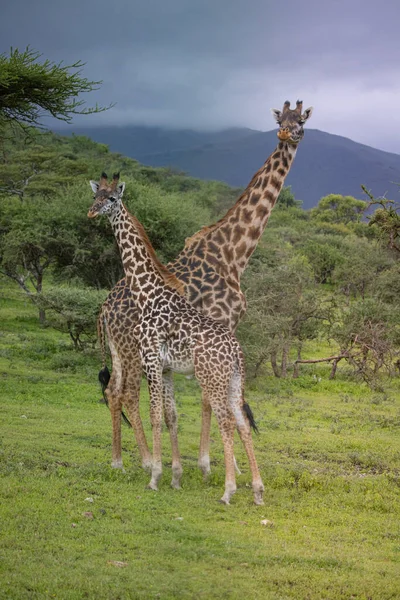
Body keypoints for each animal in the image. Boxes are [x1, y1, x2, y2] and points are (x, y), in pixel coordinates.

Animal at [87, 171, 264, 504]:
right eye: (95, 195)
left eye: (112, 198)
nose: (92, 212)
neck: (146, 292)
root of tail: (236, 351)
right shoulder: (166, 368)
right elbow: (171, 415)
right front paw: (176, 476)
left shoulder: (151, 360)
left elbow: (155, 414)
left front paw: (156, 476)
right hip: (234, 382)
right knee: (242, 422)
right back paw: (258, 490)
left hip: (210, 379)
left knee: (225, 421)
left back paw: (228, 490)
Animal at [96, 99, 312, 482]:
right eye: (281, 120)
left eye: (300, 120)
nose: (287, 134)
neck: (234, 253)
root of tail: (105, 308)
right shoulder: (223, 324)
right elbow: (211, 399)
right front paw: (214, 463)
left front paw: (212, 463)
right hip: (134, 350)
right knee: (128, 395)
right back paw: (145, 461)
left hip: (120, 350)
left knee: (113, 391)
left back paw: (120, 459)